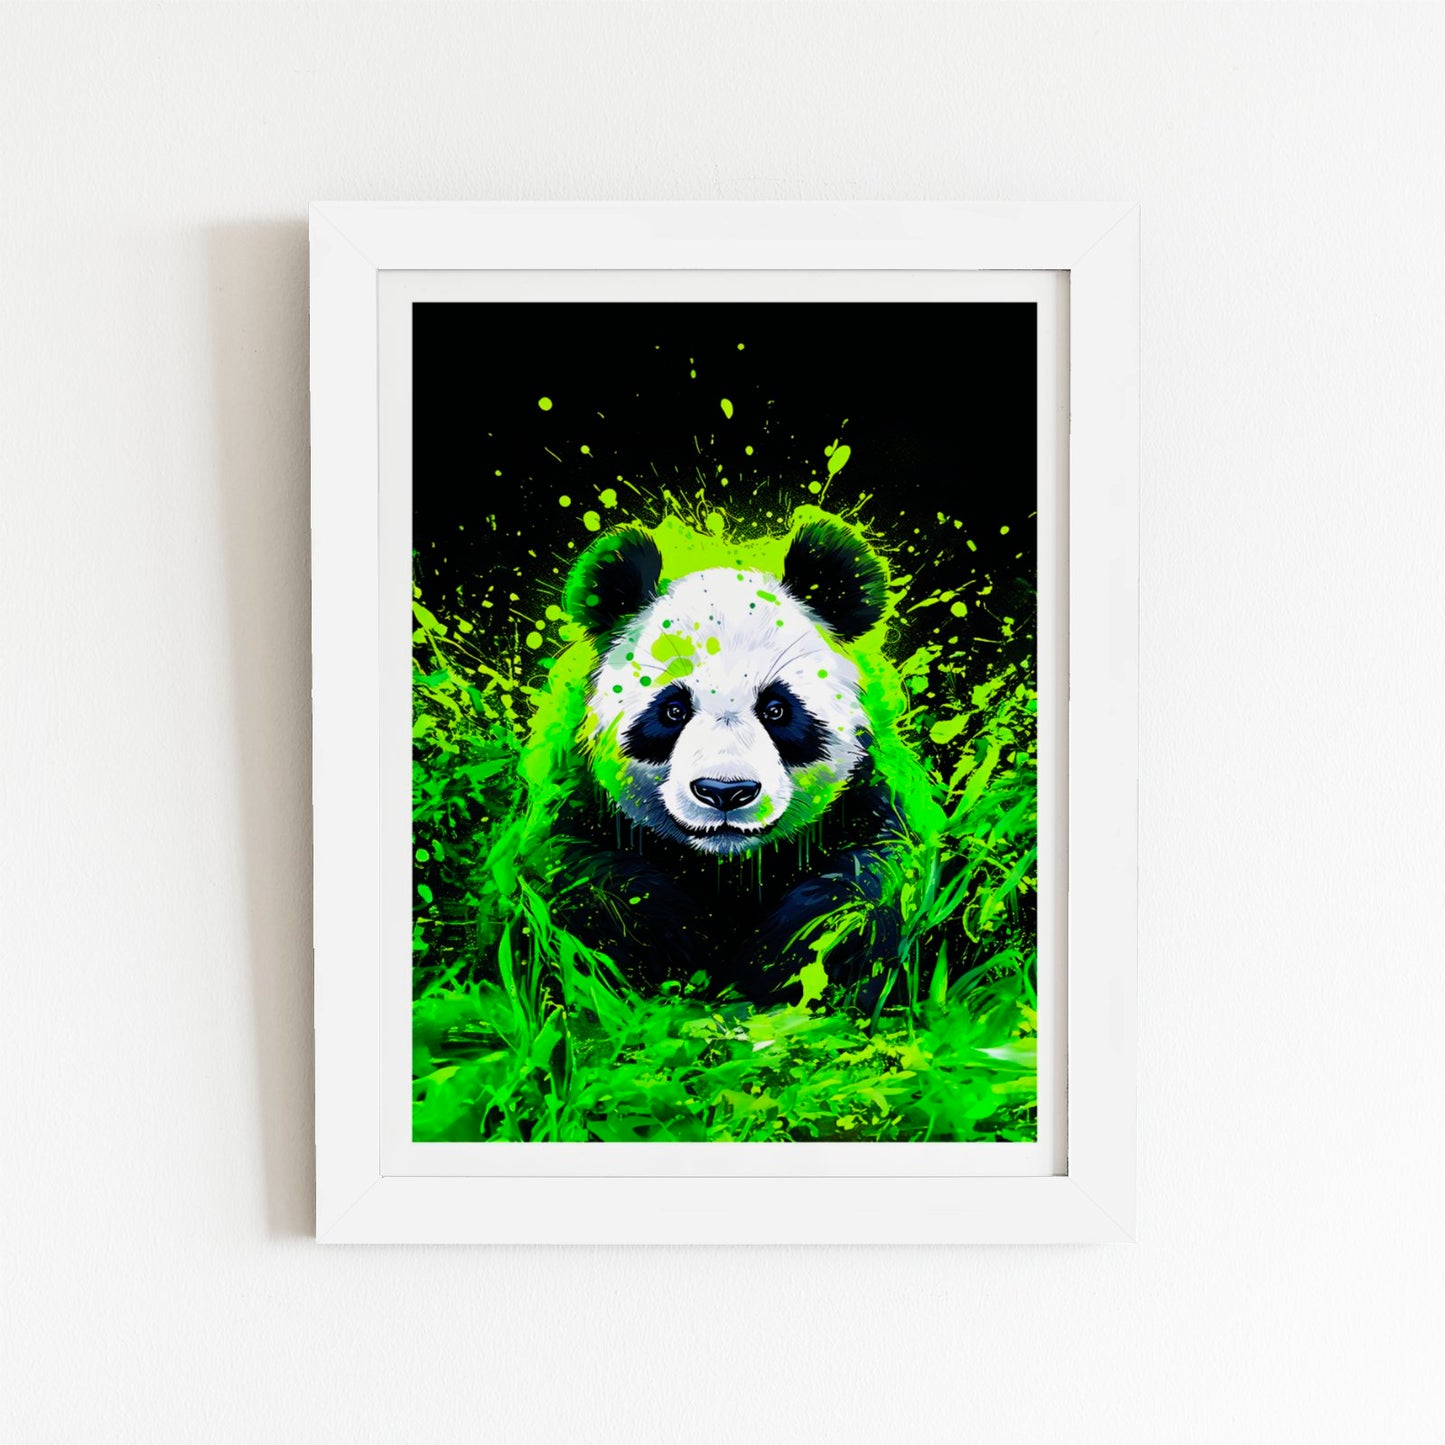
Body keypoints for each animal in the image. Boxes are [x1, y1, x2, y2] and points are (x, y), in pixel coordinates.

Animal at [530, 512, 929, 1004]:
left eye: (777, 709)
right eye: (673, 710)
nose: (725, 792)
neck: (727, 866)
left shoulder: (861, 802)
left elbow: (861, 888)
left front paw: (773, 968)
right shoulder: (585, 807)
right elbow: (593, 885)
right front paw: (676, 951)